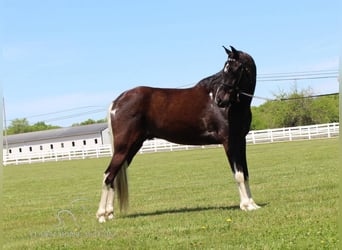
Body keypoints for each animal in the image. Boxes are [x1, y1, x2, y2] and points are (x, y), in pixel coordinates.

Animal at [95, 45, 260, 223]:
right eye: (225, 69)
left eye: (234, 68)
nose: (220, 99)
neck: (232, 108)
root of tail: (117, 102)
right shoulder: (229, 142)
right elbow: (238, 174)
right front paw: (245, 205)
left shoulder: (241, 141)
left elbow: (246, 173)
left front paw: (252, 204)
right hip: (123, 148)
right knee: (108, 176)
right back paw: (101, 215)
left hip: (131, 147)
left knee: (114, 176)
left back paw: (109, 213)